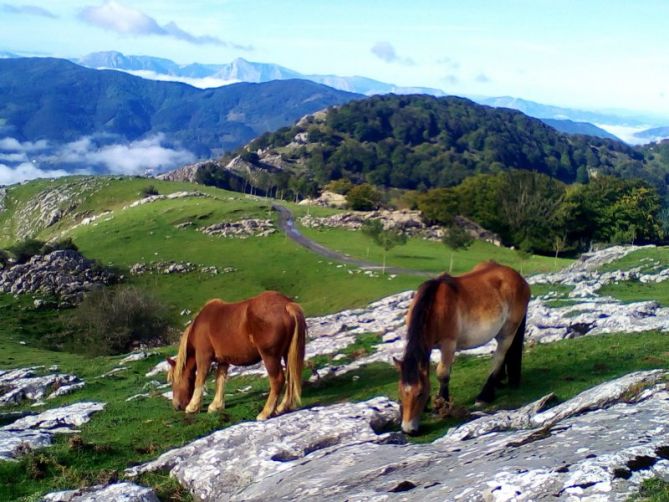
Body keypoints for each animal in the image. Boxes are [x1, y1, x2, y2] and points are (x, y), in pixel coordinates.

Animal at [166, 290, 306, 420]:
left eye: (173, 380)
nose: (176, 406)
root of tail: (287, 305)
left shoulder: (203, 356)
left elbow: (200, 378)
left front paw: (192, 407)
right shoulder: (223, 360)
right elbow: (220, 379)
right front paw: (216, 405)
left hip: (270, 356)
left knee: (278, 379)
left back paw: (265, 413)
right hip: (287, 354)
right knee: (290, 377)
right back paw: (282, 407)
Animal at [394, 260, 528, 434]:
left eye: (420, 393)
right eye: (400, 392)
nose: (408, 429)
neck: (435, 308)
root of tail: (519, 278)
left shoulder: (448, 344)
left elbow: (443, 374)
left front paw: (442, 405)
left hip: (508, 332)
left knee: (499, 357)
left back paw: (485, 396)